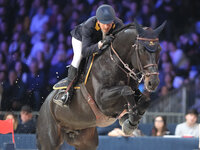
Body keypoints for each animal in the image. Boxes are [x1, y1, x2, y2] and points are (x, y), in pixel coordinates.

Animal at [36, 20, 166, 150]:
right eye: (142, 50)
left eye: (159, 49)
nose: (153, 83)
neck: (114, 63)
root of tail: (45, 104)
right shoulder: (102, 101)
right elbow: (126, 90)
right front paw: (129, 121)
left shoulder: (134, 91)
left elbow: (145, 100)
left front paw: (130, 120)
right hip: (49, 141)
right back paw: (63, 98)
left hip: (86, 142)